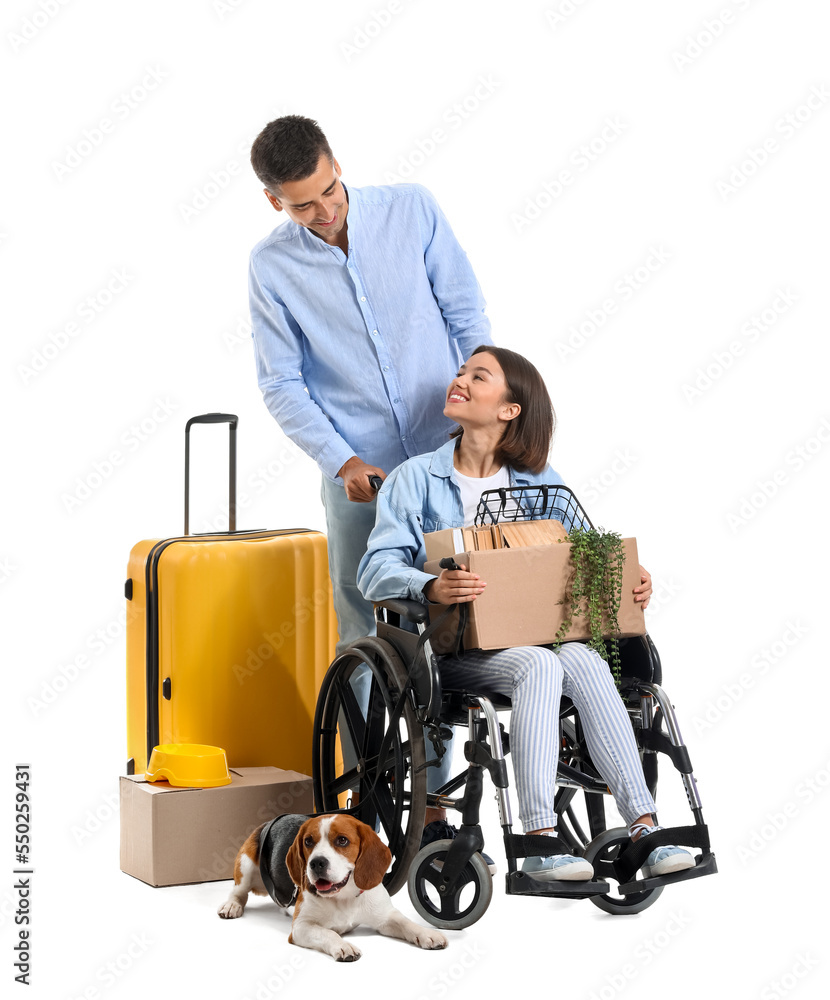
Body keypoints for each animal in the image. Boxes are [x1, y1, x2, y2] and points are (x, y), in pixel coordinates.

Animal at [218, 816, 446, 964]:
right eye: (308, 841)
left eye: (342, 840)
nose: (316, 863)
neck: (344, 897)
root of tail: (268, 823)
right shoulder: (300, 928)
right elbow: (327, 932)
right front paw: (343, 946)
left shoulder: (385, 917)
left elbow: (406, 923)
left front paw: (428, 934)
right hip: (246, 864)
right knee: (238, 892)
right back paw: (231, 906)